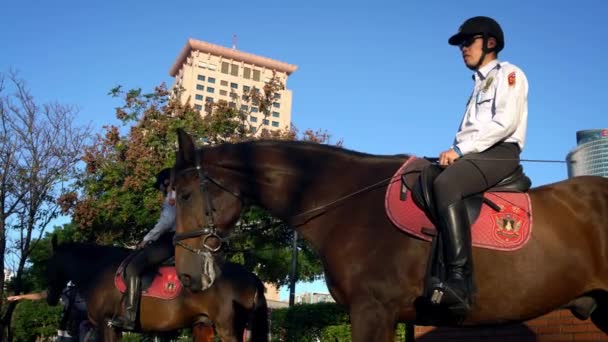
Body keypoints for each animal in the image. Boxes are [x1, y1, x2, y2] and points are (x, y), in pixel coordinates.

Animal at [45, 236, 268, 342]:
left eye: (49, 264)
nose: (50, 298)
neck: (100, 269)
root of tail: (251, 276)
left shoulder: (106, 324)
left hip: (227, 328)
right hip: (203, 326)